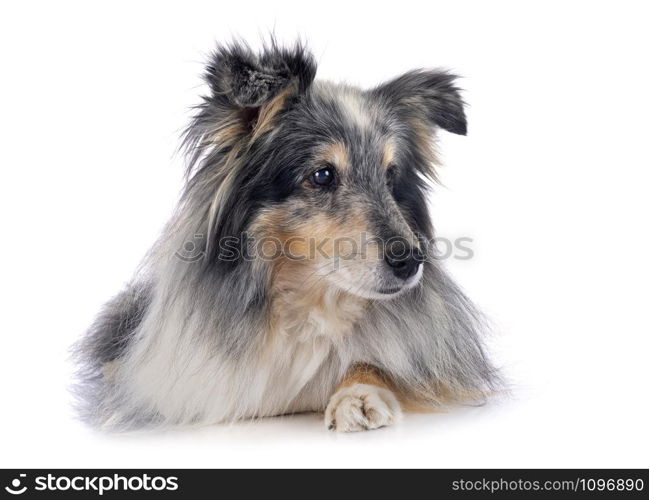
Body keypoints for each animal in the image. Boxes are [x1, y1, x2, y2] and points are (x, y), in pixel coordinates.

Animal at [77, 40, 502, 430]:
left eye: (391, 175)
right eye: (323, 175)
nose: (411, 262)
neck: (310, 306)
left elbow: (377, 363)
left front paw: (359, 395)